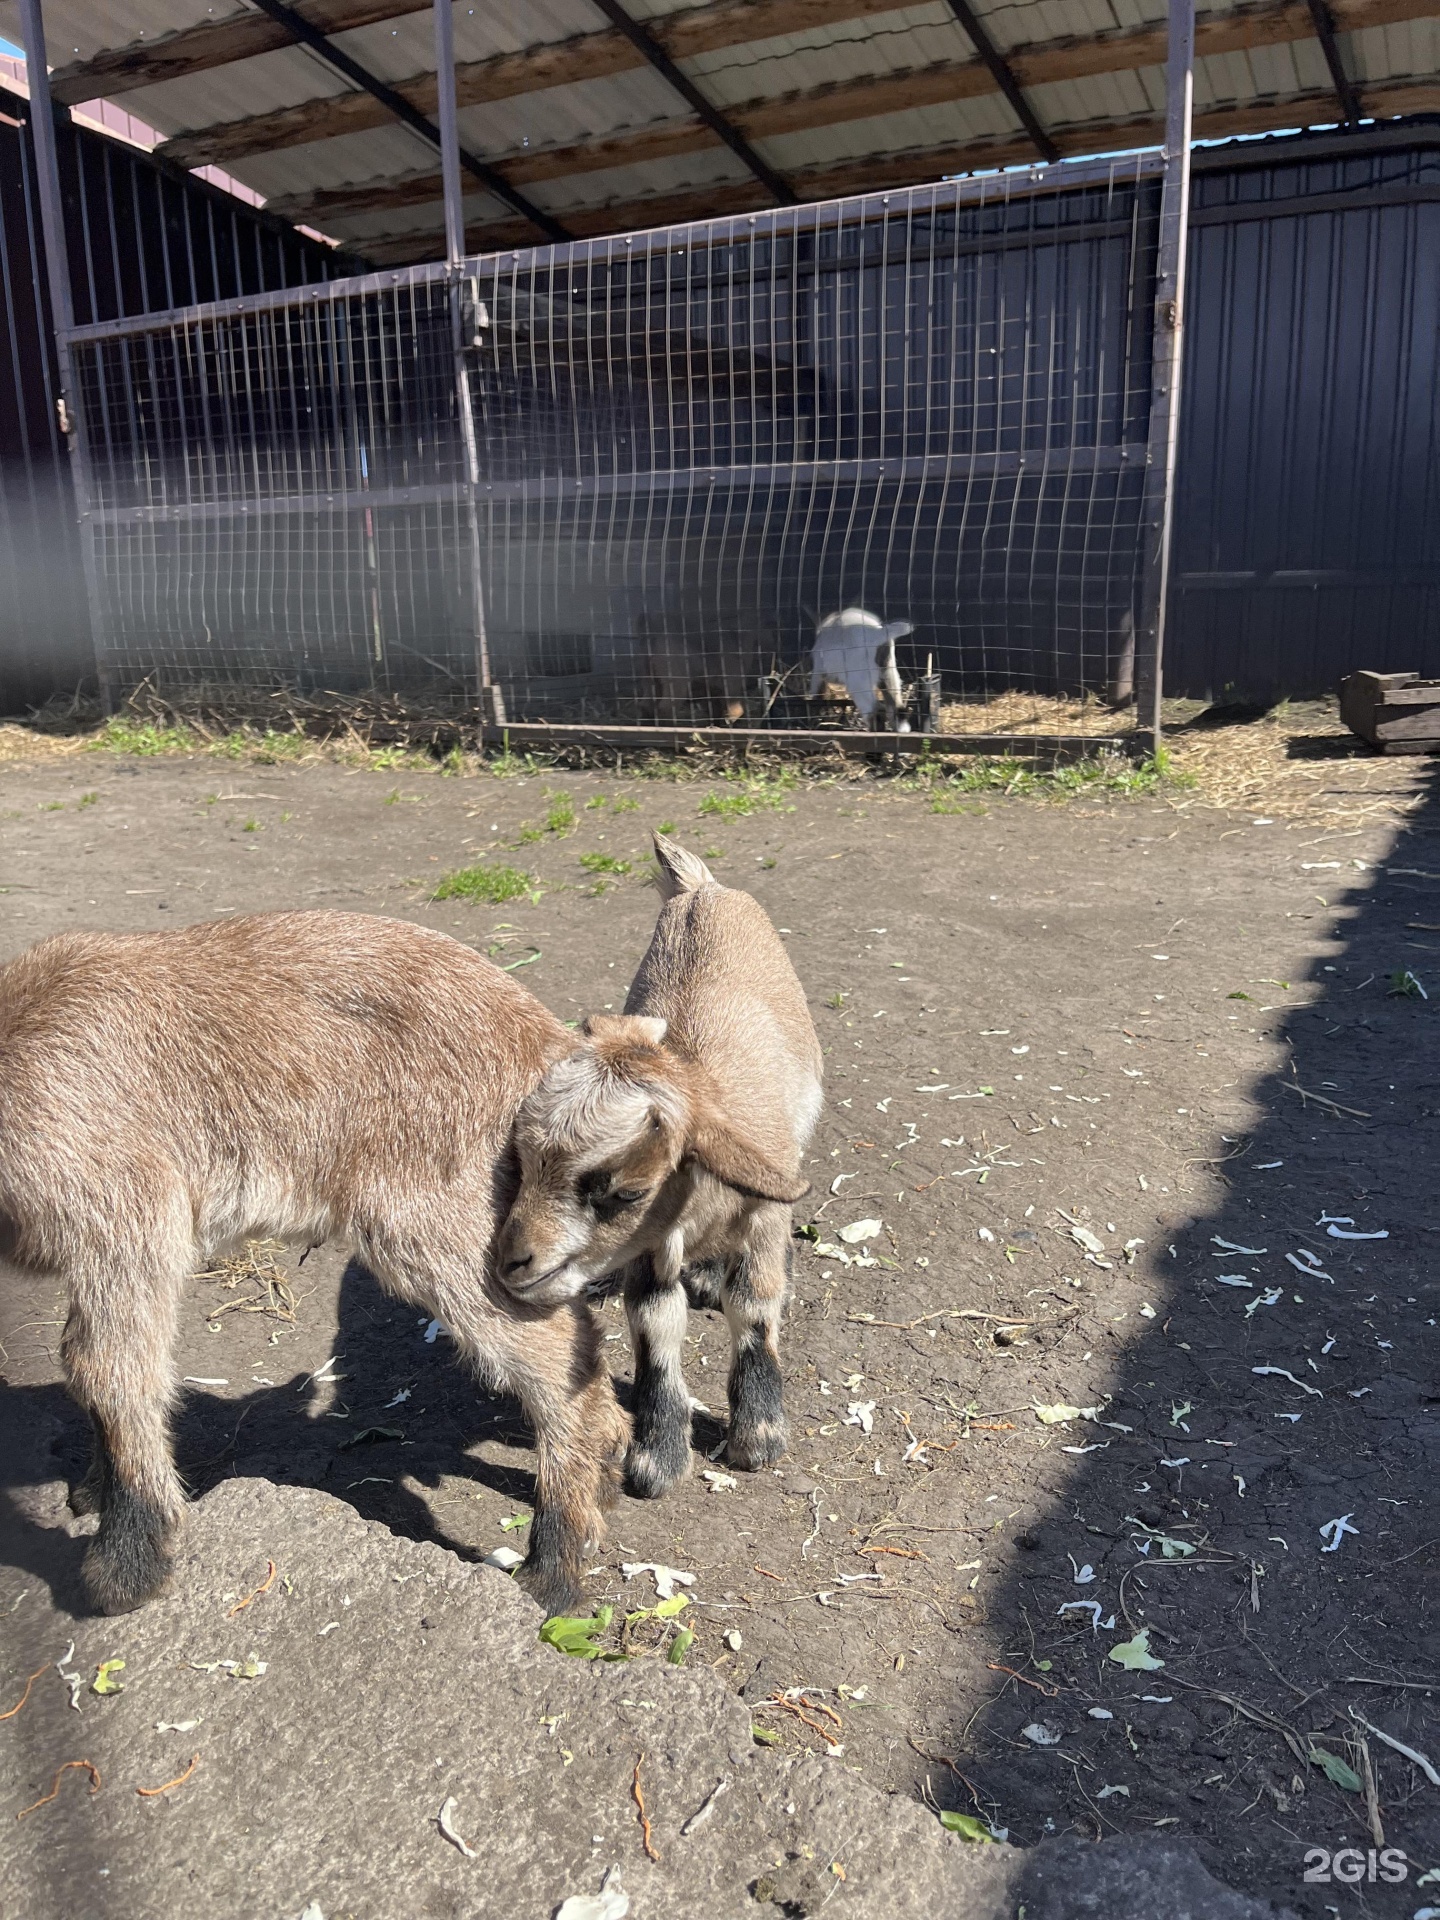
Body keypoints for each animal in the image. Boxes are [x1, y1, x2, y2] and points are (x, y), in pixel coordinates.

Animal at [0, 913, 629, 1620]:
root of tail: (545, 1040)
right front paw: (95, 1495)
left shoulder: (124, 1213)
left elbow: (104, 1367)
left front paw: (126, 1566)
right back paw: (608, 1469)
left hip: (440, 1217)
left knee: (547, 1350)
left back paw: (554, 1570)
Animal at [499, 840, 821, 1497]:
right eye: (520, 1158)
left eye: (626, 1191)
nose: (513, 1263)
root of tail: (700, 888)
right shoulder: (651, 1247)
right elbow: (653, 1326)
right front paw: (657, 1460)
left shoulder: (761, 1214)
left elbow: (754, 1302)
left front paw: (758, 1438)